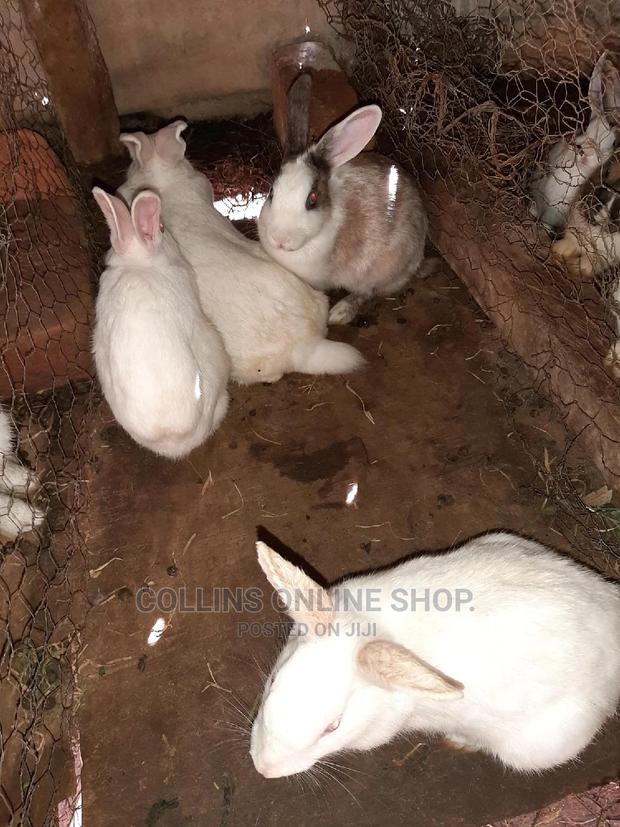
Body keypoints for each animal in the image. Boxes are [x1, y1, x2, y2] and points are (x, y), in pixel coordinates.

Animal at [257, 73, 432, 325]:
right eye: (272, 192)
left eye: (312, 199)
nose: (279, 239)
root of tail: (417, 260)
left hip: (382, 269)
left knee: (366, 292)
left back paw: (339, 313)